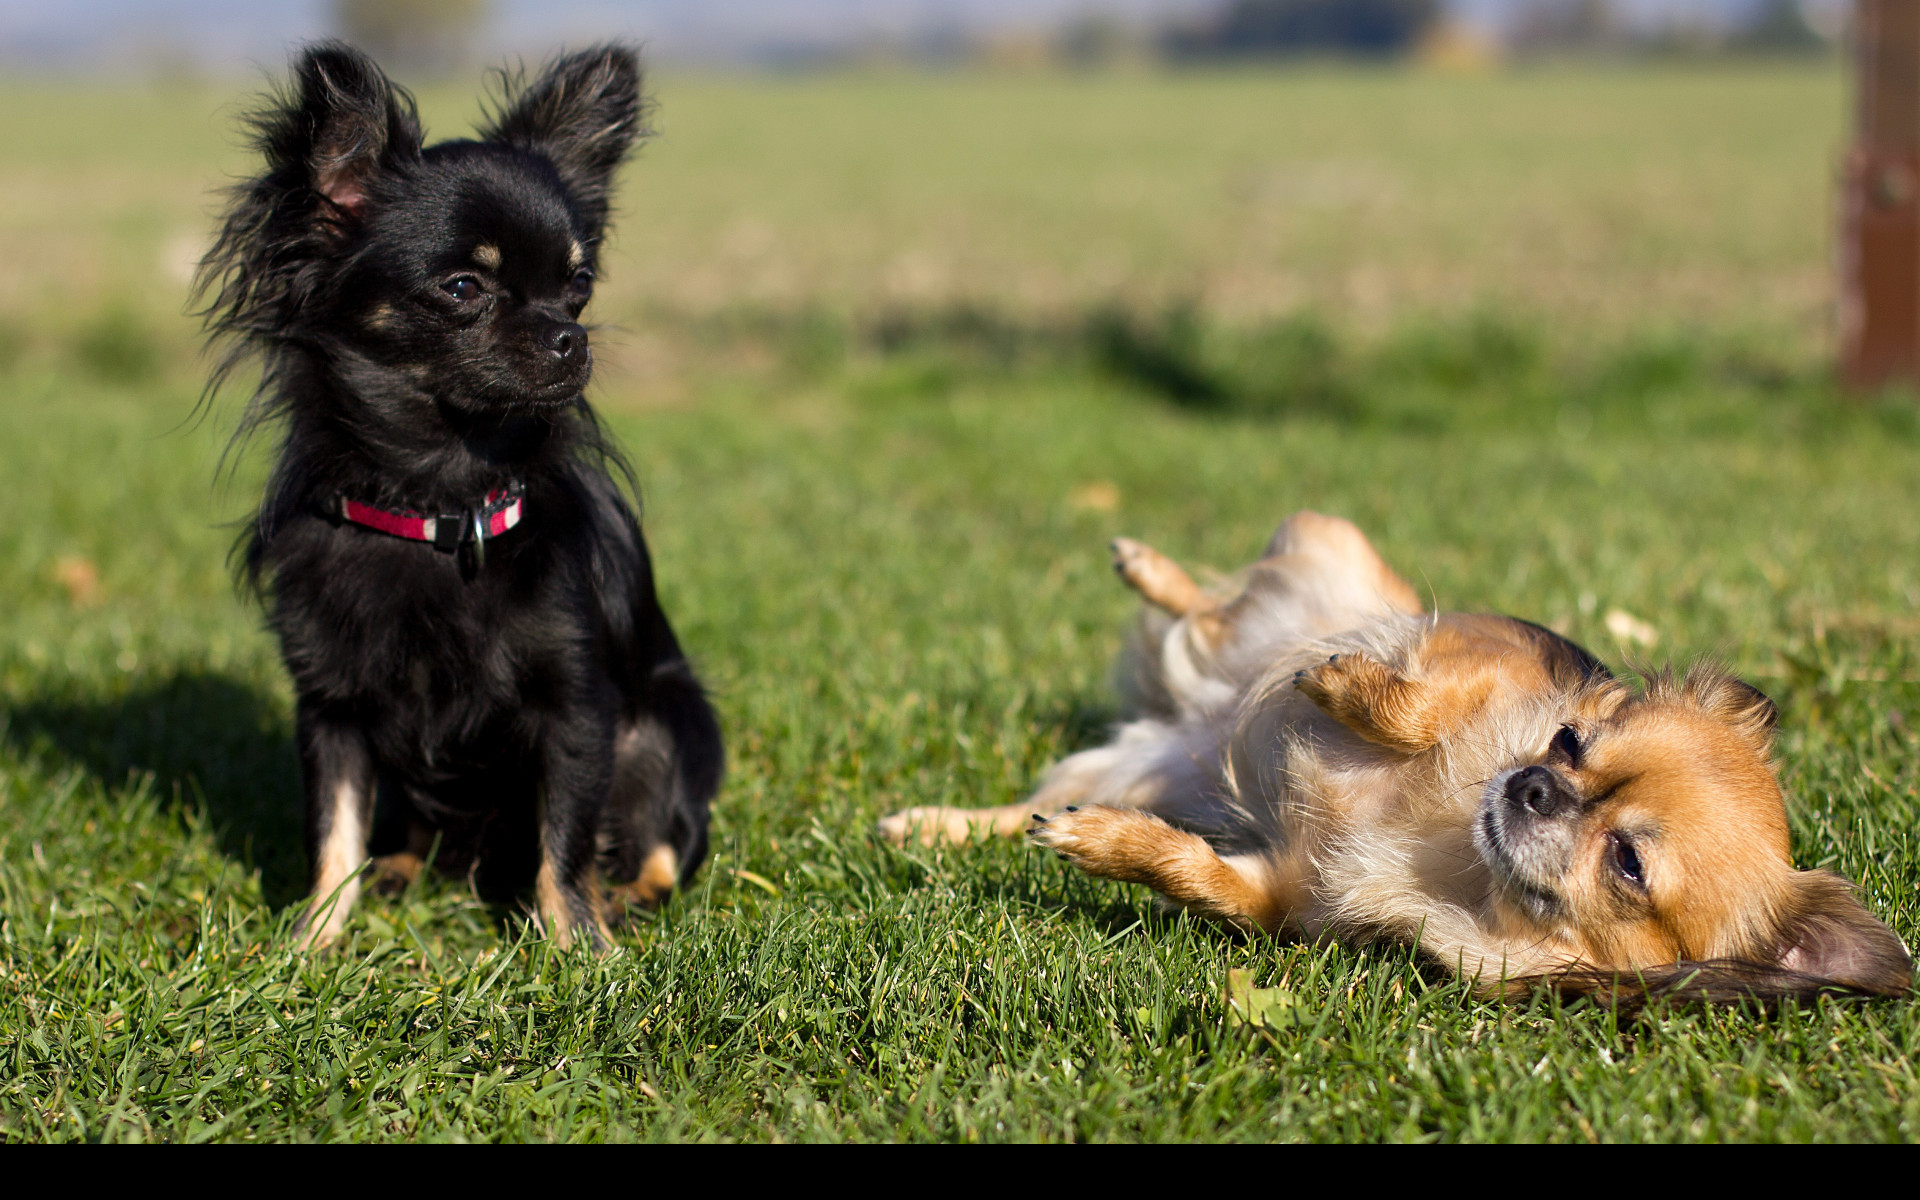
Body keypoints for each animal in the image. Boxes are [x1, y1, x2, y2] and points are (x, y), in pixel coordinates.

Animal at [196, 44, 721, 944]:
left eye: (579, 286)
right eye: (464, 289)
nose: (572, 336)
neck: (438, 502)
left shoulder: (578, 707)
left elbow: (566, 842)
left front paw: (581, 947)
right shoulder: (330, 708)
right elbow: (333, 832)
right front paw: (312, 944)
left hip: (671, 720)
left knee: (663, 844)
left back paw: (627, 902)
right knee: (407, 829)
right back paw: (399, 873)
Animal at [879, 510, 1912, 998]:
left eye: (1626, 861)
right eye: (1568, 740)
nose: (1531, 784)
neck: (1450, 851)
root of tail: (1193, 716)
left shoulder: (1280, 894)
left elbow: (1191, 870)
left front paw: (1101, 846)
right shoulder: (1478, 659)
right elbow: (1418, 702)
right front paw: (1338, 688)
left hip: (1141, 770)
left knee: (1025, 808)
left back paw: (933, 827)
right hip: (1329, 556)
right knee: (1216, 606)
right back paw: (1153, 572)